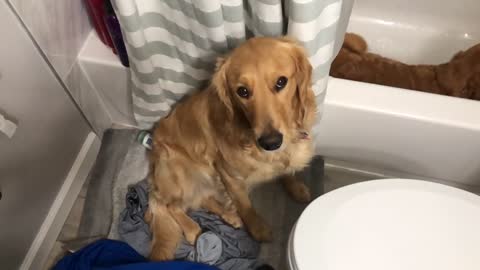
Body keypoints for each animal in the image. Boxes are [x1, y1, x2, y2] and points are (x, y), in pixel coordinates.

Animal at [147, 37, 318, 260]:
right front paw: (257, 228)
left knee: (201, 199)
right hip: (182, 172)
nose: (270, 142)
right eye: (242, 91)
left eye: (281, 82)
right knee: (170, 205)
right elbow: (245, 204)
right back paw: (192, 229)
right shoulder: (228, 174)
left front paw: (295, 186)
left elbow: (286, 171)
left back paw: (229, 216)